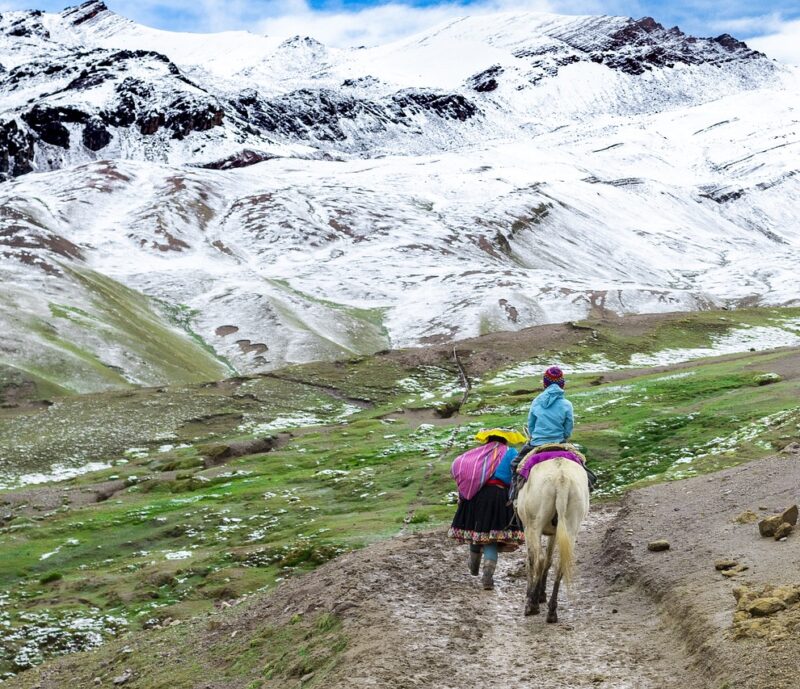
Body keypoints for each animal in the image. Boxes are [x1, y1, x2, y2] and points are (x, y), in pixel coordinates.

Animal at [516, 460, 592, 620]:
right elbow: (549, 560)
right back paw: (552, 610)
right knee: (561, 563)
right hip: (571, 526)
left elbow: (531, 560)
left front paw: (533, 595)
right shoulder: (554, 533)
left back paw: (532, 605)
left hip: (535, 525)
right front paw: (542, 594)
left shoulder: (527, 529)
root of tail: (561, 479)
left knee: (538, 559)